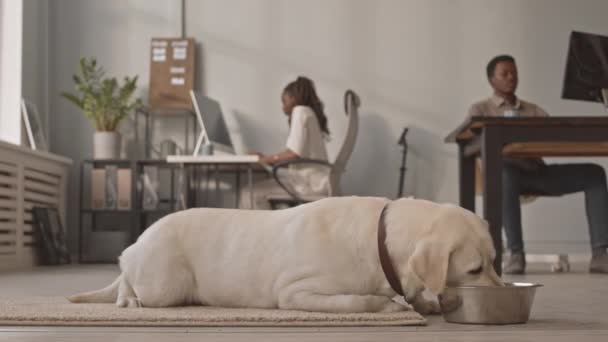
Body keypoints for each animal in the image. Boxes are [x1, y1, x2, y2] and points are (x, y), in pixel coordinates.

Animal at [69, 196, 502, 314]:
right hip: (163, 283)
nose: (501, 292)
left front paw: (423, 302)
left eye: (495, 262)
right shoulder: (296, 293)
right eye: (475, 269)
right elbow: (359, 300)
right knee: (126, 275)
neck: (378, 237)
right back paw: (127, 297)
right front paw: (388, 305)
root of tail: (142, 238)